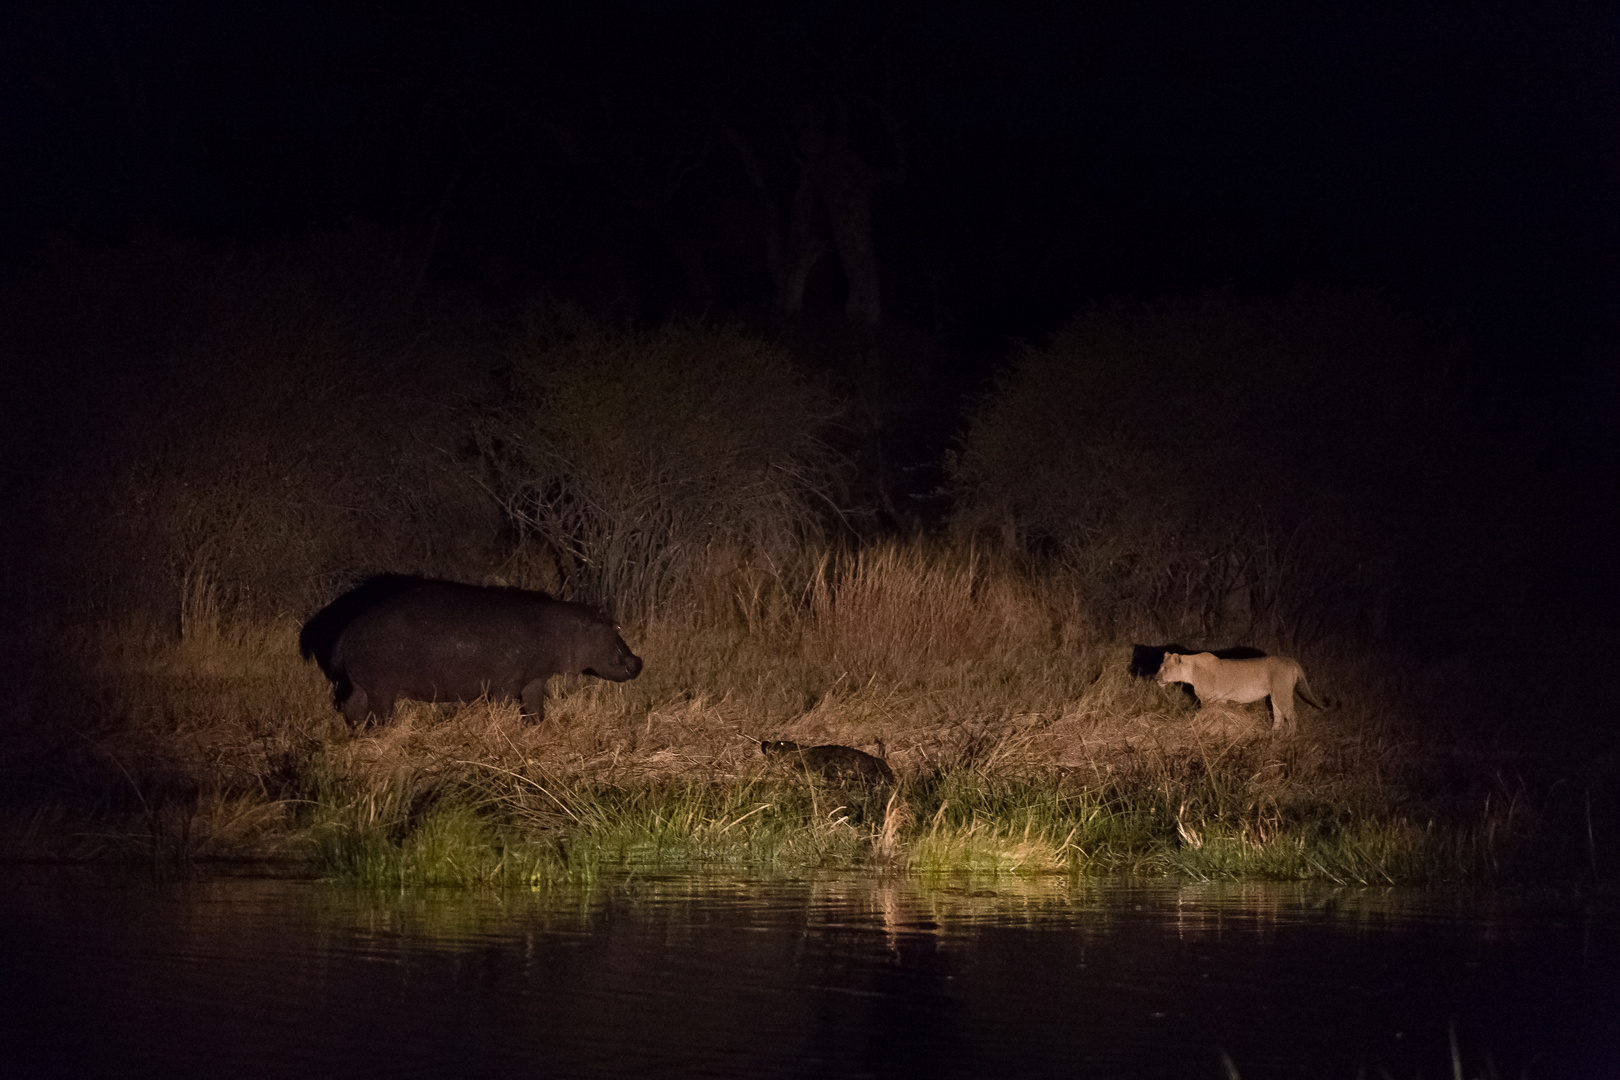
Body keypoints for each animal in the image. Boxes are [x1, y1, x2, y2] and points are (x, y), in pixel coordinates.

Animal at [301, 573, 641, 725]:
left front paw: (537, 729)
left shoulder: (533, 680)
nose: (638, 660)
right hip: (381, 691)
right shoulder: (506, 684)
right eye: (614, 628)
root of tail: (346, 633)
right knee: (378, 716)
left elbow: (535, 709)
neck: (564, 629)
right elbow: (504, 708)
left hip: (361, 685)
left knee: (351, 709)